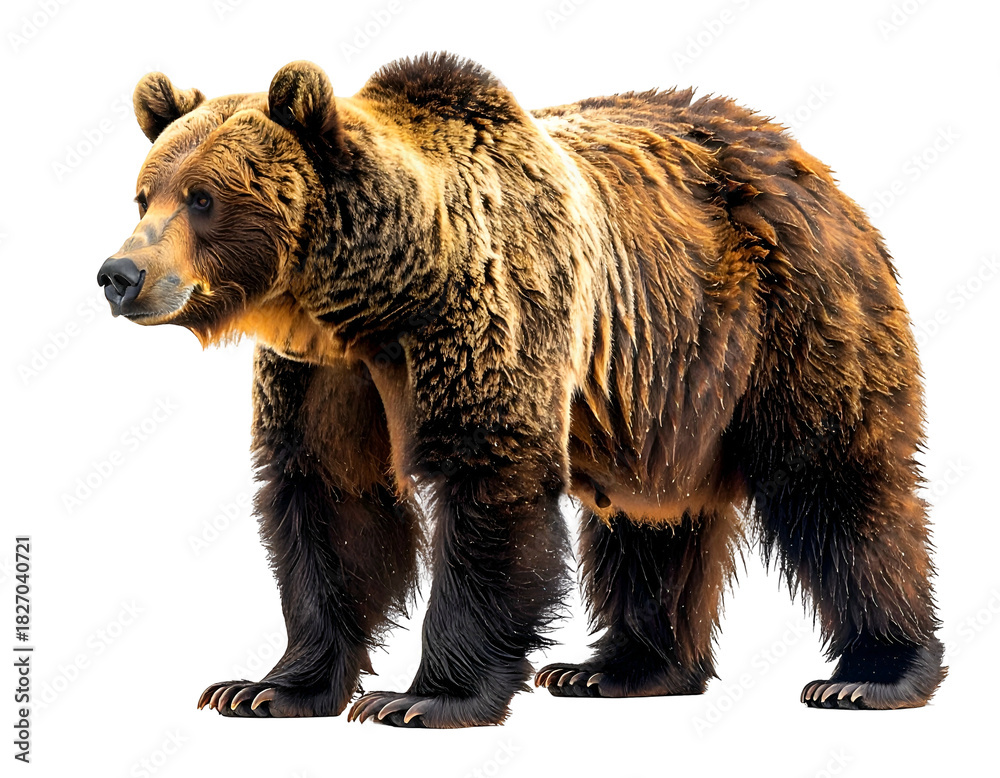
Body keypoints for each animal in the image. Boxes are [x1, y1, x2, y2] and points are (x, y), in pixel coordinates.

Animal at [97, 53, 945, 727]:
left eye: (203, 197)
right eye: (145, 194)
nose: (120, 274)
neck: (371, 295)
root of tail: (803, 158)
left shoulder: (484, 315)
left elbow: (488, 484)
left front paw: (422, 697)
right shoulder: (327, 372)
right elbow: (330, 495)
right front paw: (265, 687)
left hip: (793, 311)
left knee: (838, 481)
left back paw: (872, 675)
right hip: (663, 380)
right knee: (654, 512)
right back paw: (623, 668)